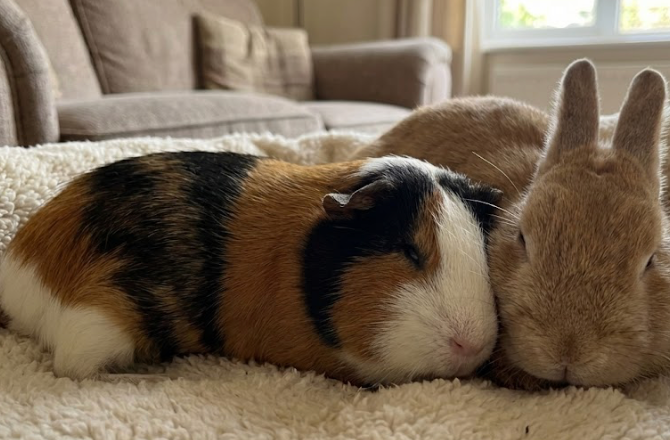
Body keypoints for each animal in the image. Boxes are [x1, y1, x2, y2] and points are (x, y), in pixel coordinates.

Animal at [0, 151, 503, 387]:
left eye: (481, 249)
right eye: (409, 251)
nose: (472, 345)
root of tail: (20, 267)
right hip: (101, 322)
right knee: (72, 368)